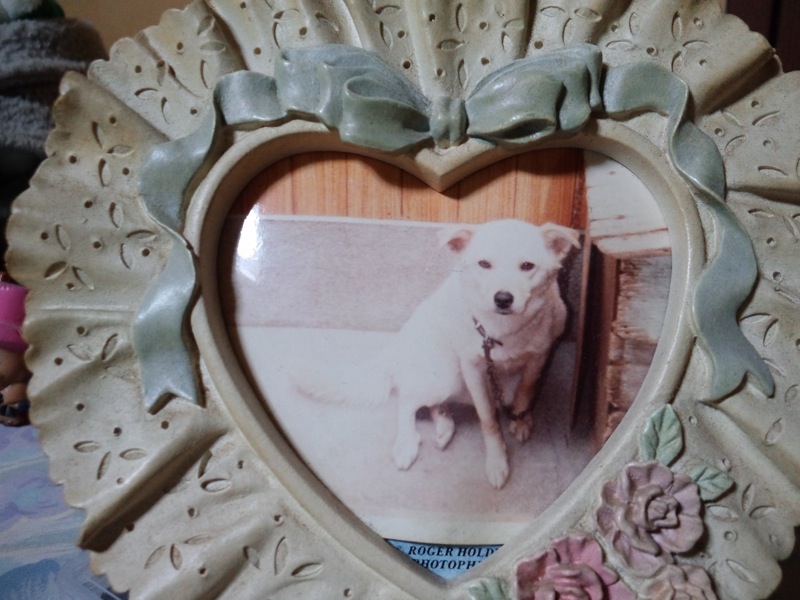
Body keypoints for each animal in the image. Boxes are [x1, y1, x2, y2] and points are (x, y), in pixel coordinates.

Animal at [296, 219, 580, 489]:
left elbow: (526, 391)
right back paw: (407, 443)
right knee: (407, 399)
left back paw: (444, 425)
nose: (502, 298)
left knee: (432, 403)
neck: (501, 331)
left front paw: (521, 421)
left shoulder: (540, 355)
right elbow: (488, 418)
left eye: (527, 266)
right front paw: (497, 461)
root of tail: (396, 346)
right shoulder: (472, 367)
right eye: (484, 263)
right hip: (445, 375)